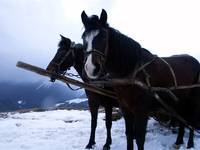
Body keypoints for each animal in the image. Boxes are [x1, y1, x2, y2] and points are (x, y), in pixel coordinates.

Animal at [81, 9, 200, 149]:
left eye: (104, 36)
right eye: (83, 38)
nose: (91, 68)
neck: (132, 71)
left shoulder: (141, 111)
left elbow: (139, 138)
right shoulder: (126, 109)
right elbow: (129, 135)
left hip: (193, 100)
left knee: (191, 120)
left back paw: (190, 143)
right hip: (180, 101)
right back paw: (179, 141)